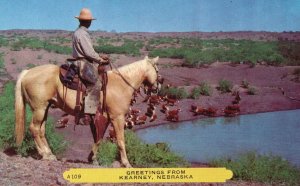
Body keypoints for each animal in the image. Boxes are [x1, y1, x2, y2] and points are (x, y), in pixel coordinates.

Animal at [15, 55, 161, 167]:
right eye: (157, 70)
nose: (158, 87)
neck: (121, 84)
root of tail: (27, 72)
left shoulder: (104, 118)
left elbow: (98, 138)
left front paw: (92, 158)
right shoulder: (117, 117)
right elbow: (120, 141)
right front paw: (126, 163)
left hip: (44, 108)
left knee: (41, 130)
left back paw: (49, 154)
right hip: (39, 109)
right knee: (34, 128)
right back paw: (45, 155)